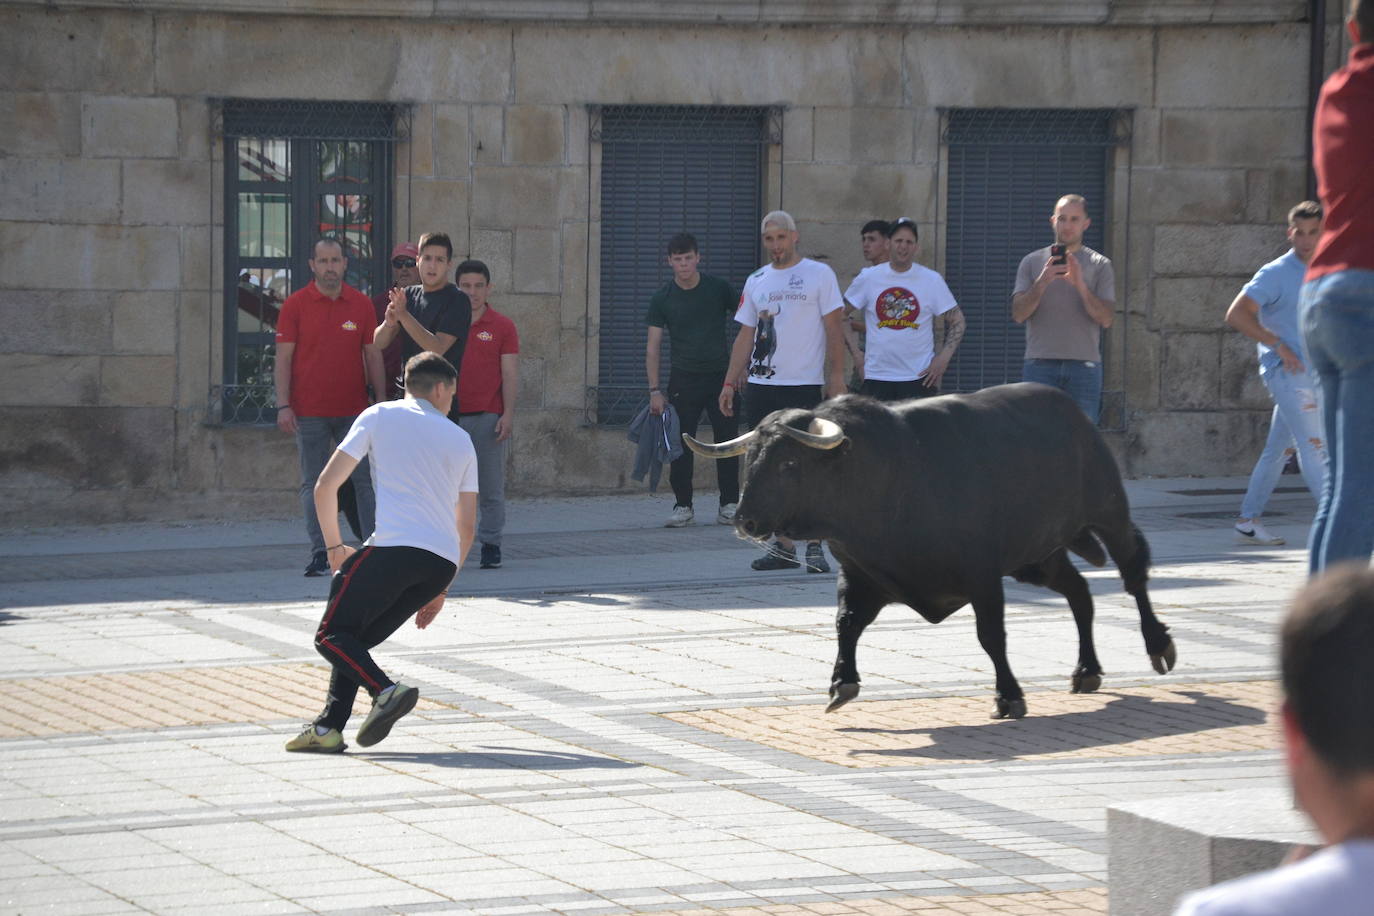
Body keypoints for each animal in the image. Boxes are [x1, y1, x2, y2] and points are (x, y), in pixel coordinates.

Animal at [681, 384, 1176, 719]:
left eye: (788, 463)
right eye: (751, 458)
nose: (745, 521)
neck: (883, 475)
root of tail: (1072, 412)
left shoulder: (982, 575)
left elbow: (991, 636)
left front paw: (1009, 696)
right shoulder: (861, 573)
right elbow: (846, 624)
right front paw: (842, 683)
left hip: (1108, 514)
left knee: (1133, 573)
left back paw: (1158, 646)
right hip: (1040, 556)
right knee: (1080, 594)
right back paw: (1087, 670)